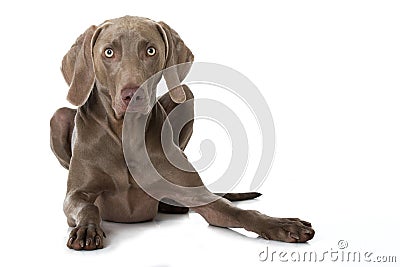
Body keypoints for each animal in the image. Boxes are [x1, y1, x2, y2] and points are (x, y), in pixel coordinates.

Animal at [50, 16, 314, 251]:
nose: (133, 95)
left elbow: (239, 211)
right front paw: (87, 230)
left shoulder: (199, 196)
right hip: (58, 118)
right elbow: (88, 207)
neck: (126, 133)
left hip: (186, 96)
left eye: (150, 51)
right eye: (108, 52)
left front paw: (281, 224)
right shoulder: (76, 195)